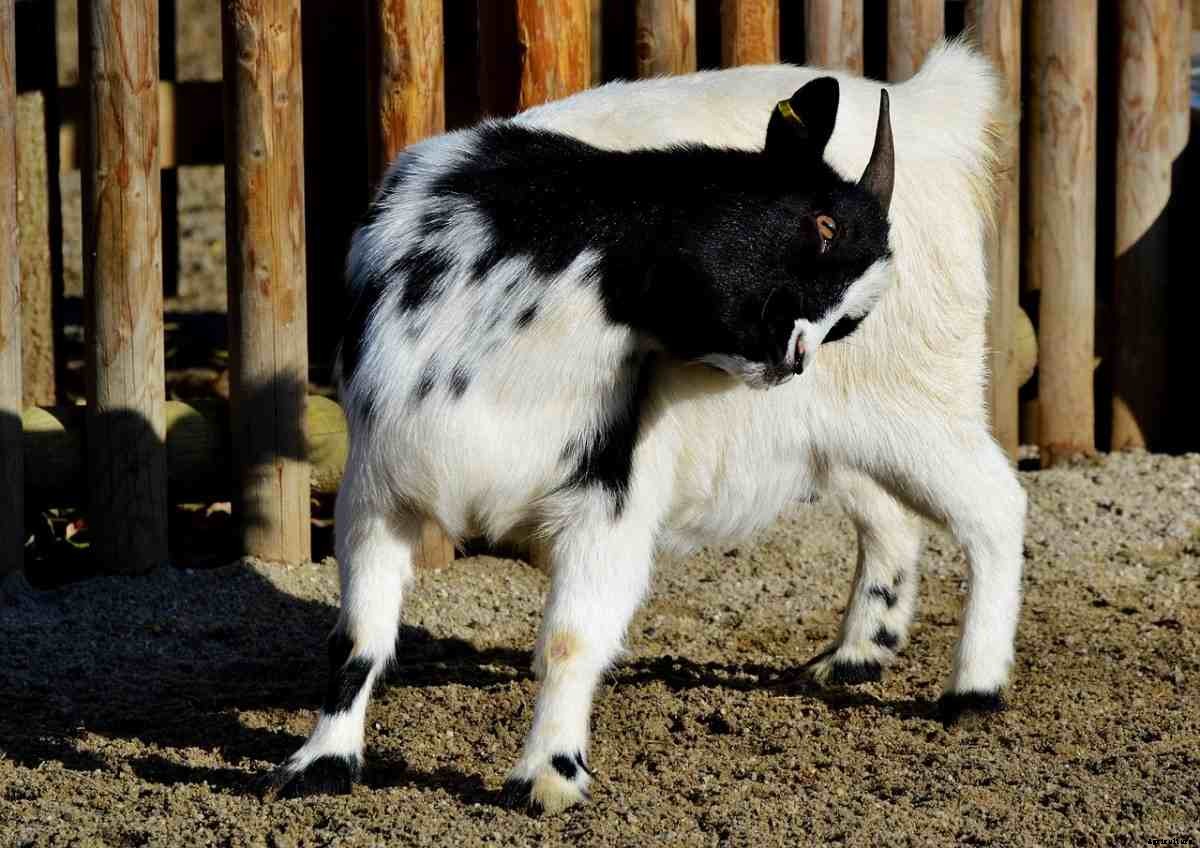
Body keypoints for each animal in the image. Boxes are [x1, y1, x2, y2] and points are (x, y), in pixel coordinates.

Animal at [266, 41, 1024, 816]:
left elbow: (571, 638)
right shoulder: (379, 481)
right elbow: (356, 637)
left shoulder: (613, 492)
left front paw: (548, 775)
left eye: (850, 319)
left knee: (994, 505)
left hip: (921, 400)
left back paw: (973, 689)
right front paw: (322, 762)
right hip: (836, 430)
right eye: (823, 226)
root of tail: (932, 108)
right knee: (889, 517)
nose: (794, 357)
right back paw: (857, 655)